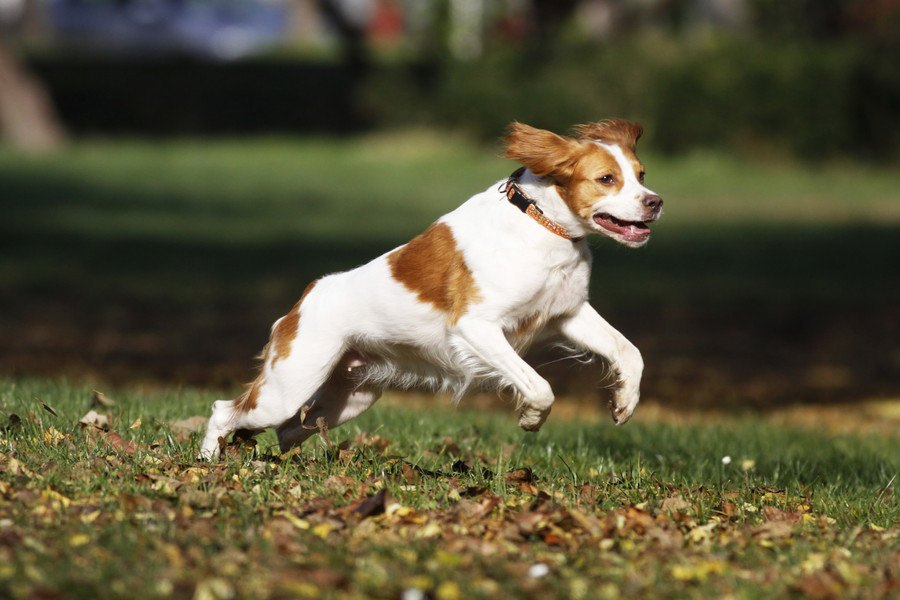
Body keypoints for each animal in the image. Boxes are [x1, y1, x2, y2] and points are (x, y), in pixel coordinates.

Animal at [200, 120, 660, 460]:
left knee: (289, 430)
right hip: (291, 383)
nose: (655, 202)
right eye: (606, 178)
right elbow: (539, 385)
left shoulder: (568, 312)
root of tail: (300, 303)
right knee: (226, 411)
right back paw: (208, 464)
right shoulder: (476, 327)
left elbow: (630, 352)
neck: (540, 221)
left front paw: (624, 402)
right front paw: (531, 418)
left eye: (641, 176)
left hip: (351, 396)